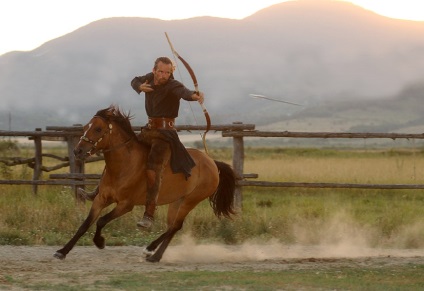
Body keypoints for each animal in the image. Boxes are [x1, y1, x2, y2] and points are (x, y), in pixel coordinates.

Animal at [53, 106, 235, 264]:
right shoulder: (101, 199)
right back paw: (155, 256)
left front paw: (100, 242)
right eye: (85, 127)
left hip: (190, 200)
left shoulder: (126, 205)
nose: (78, 151)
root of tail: (213, 163)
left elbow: (101, 221)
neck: (124, 165)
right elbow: (85, 225)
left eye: (98, 129)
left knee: (175, 226)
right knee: (172, 226)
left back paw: (150, 249)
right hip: (177, 201)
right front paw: (62, 251)